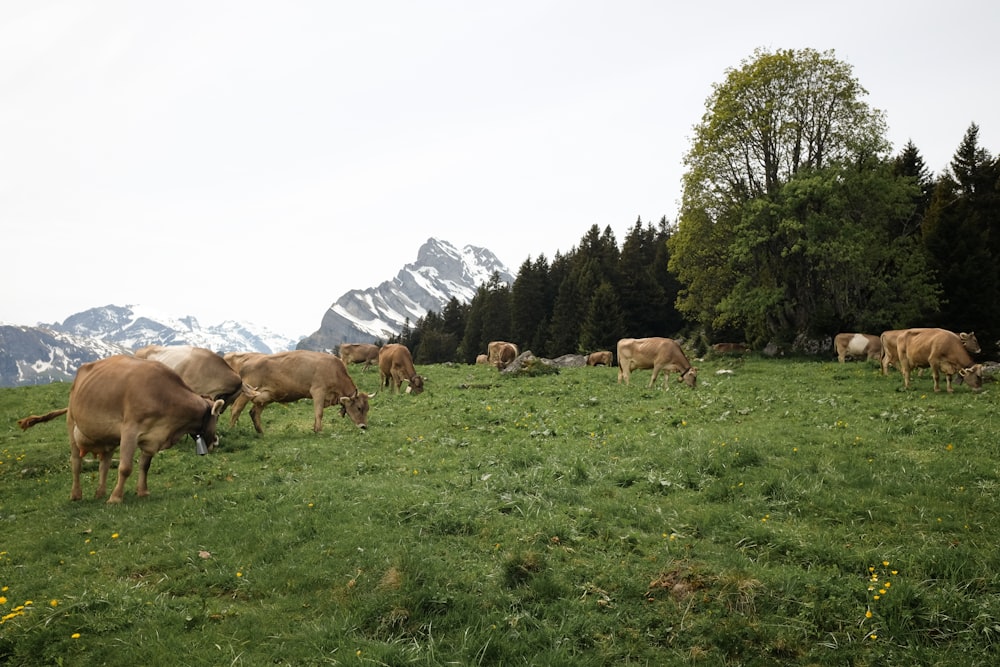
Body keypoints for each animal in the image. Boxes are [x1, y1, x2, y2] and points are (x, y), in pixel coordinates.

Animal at [17, 358, 225, 504]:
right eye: (217, 416)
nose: (215, 441)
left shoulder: (151, 438)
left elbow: (144, 466)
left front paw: (142, 491)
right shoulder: (130, 430)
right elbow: (125, 468)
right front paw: (116, 498)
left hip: (108, 438)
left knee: (104, 463)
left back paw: (100, 492)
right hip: (72, 424)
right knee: (76, 462)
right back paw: (76, 494)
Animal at [230, 350, 372, 434]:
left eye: (367, 409)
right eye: (359, 408)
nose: (364, 426)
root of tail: (246, 361)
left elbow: (316, 413)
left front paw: (315, 429)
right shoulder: (318, 391)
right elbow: (319, 413)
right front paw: (319, 431)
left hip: (265, 396)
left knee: (254, 413)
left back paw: (261, 433)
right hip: (246, 393)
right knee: (236, 409)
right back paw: (232, 431)